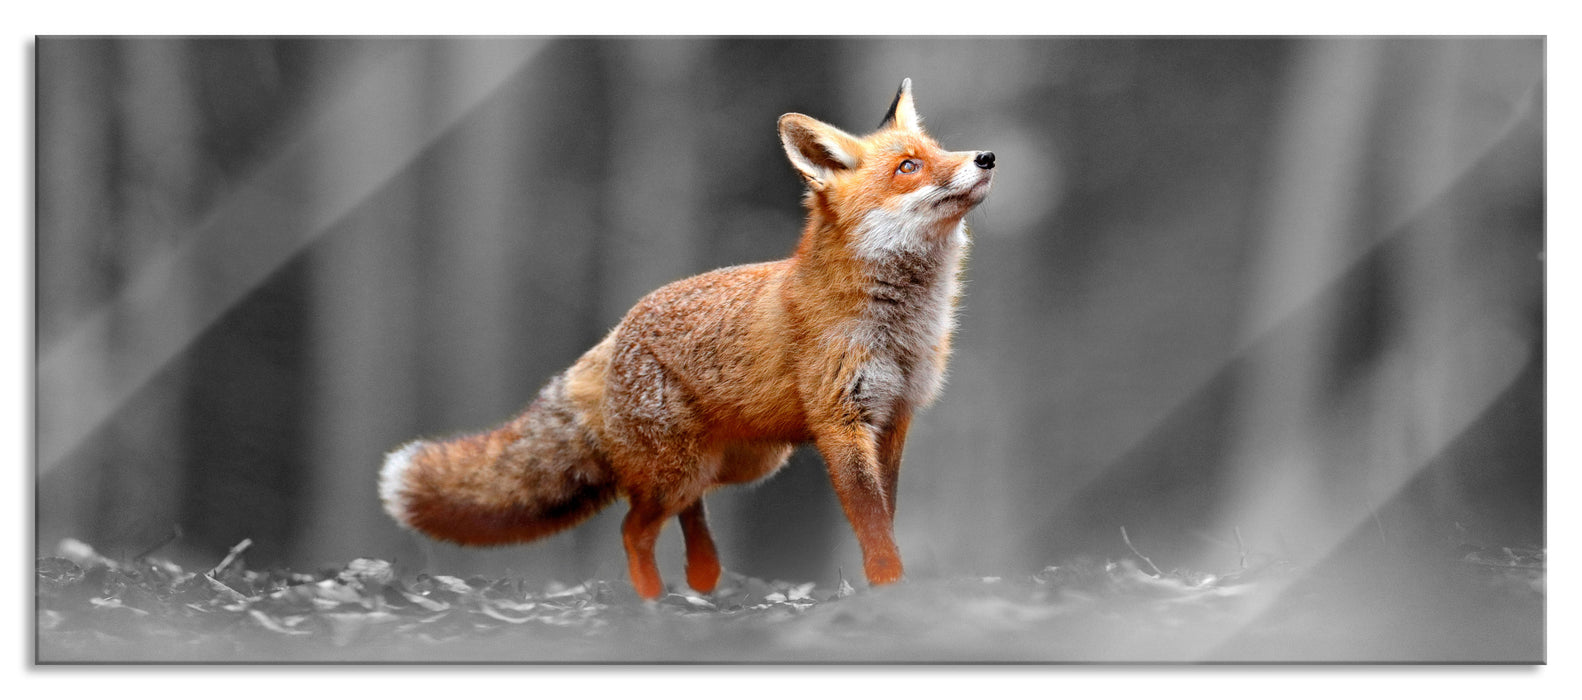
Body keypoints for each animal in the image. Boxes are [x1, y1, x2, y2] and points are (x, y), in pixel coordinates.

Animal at [379, 78, 995, 600]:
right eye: (909, 167)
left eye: (939, 150)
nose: (985, 157)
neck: (901, 327)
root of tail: (616, 332)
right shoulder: (842, 421)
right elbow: (870, 522)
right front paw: (889, 586)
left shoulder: (893, 418)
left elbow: (884, 514)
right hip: (682, 468)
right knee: (633, 528)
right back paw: (654, 602)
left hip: (741, 462)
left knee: (687, 511)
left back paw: (703, 576)